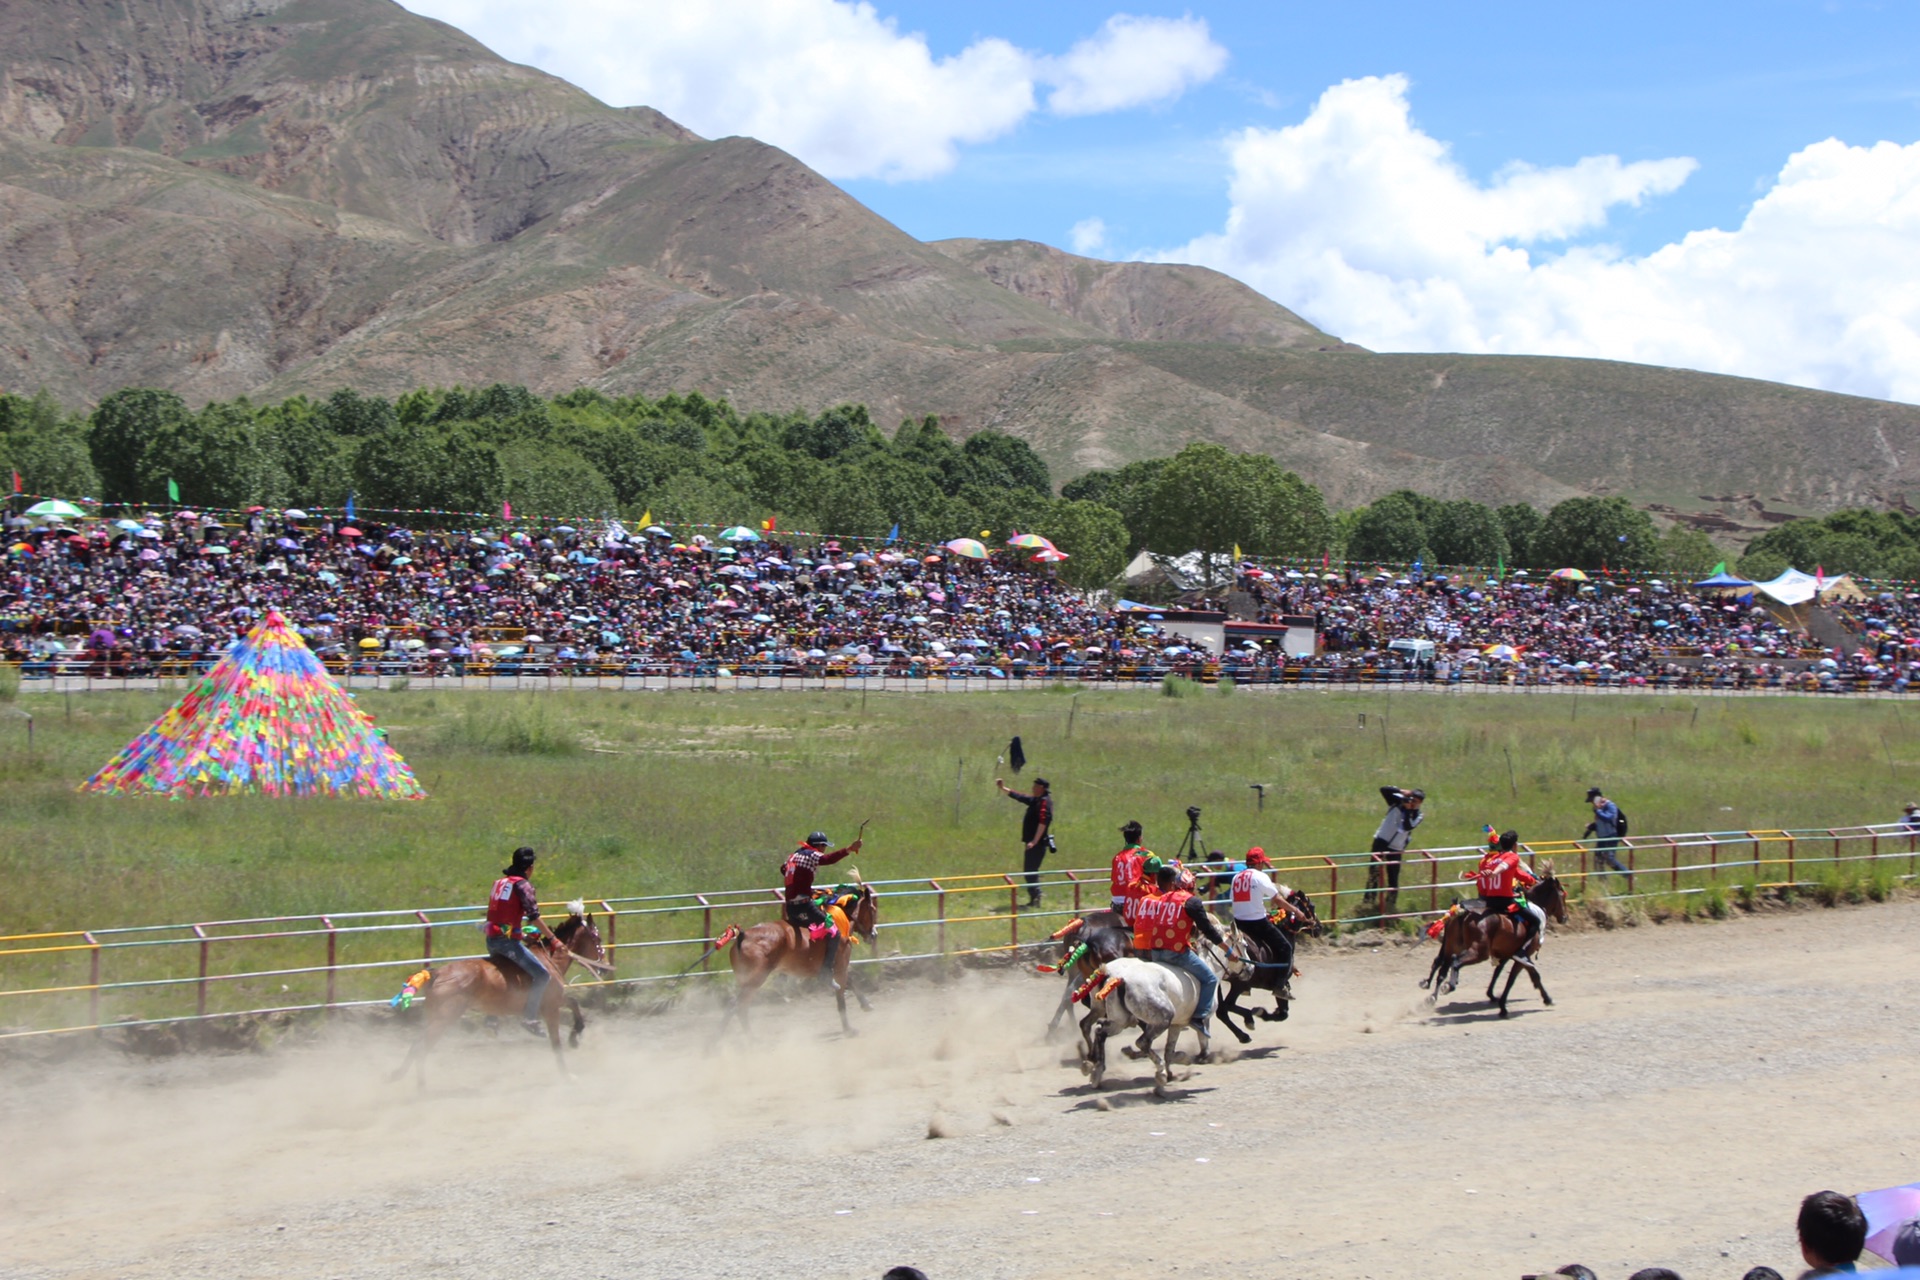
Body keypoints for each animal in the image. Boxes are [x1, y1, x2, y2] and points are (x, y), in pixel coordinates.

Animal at [385, 905, 602, 1090]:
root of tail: (437, 973)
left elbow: (574, 1003)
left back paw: (408, 1079)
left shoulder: (554, 1001)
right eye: (597, 939)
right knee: (421, 1047)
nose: (602, 963)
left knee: (417, 1044)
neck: (549, 959)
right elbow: (556, 1043)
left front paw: (575, 1037)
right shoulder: (550, 1007)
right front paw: (567, 1074)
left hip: (433, 1017)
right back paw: (415, 1084)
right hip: (443, 1019)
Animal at [714, 890, 879, 1043]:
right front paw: (849, 1029)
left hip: (746, 980)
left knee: (738, 1006)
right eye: (872, 910)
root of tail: (743, 936)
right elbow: (841, 999)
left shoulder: (835, 969)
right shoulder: (840, 967)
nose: (873, 935)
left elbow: (850, 982)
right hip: (756, 979)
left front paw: (867, 1004)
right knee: (738, 1006)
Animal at [1082, 948, 1228, 1097]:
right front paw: (1182, 1061)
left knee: (1097, 1030)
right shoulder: (1201, 1021)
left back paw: (1095, 1069)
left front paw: (1171, 1072)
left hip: (1118, 1019)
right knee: (1142, 1042)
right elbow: (1202, 1051)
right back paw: (1159, 1073)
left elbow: (1169, 1051)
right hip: (1162, 1018)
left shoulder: (1176, 1025)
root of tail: (1119, 978)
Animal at [1420, 871, 1566, 1020]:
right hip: (1478, 952)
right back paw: (1449, 986)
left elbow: (1502, 973)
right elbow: (1516, 979)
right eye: (1562, 895)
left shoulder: (1508, 955)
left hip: (1451, 947)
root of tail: (1463, 913)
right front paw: (1503, 1007)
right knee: (1455, 962)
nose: (1564, 917)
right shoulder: (1522, 957)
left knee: (1441, 968)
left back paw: (1431, 995)